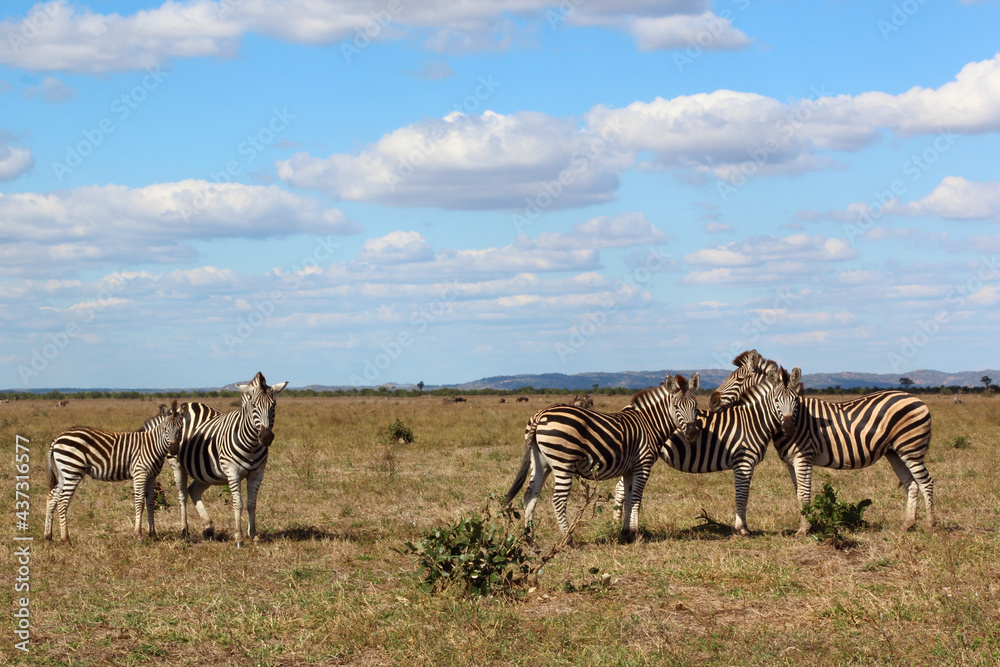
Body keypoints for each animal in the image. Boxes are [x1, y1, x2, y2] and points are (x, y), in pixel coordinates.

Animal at [44, 400, 183, 544]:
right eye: (165, 429)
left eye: (180, 429)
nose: (173, 450)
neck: (152, 445)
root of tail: (57, 438)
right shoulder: (140, 473)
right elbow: (139, 502)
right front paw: (138, 534)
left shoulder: (152, 477)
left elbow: (150, 502)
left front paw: (153, 534)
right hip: (72, 470)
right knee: (62, 501)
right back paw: (65, 539)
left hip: (63, 473)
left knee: (51, 498)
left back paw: (48, 536)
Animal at [168, 372, 288, 548]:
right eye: (253, 406)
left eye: (274, 405)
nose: (266, 437)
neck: (252, 445)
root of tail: (189, 404)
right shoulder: (233, 472)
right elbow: (238, 504)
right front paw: (239, 538)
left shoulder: (257, 473)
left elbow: (252, 504)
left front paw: (253, 535)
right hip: (177, 465)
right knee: (182, 495)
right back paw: (184, 531)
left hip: (205, 471)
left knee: (193, 490)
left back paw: (208, 528)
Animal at [504, 374, 701, 542]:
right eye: (676, 407)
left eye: (696, 407)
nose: (692, 433)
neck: (649, 424)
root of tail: (540, 414)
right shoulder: (643, 465)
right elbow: (636, 499)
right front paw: (636, 534)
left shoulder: (629, 469)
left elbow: (628, 498)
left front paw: (626, 533)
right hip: (563, 462)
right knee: (558, 499)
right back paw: (568, 539)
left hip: (540, 462)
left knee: (530, 495)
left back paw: (530, 538)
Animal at [614, 364, 802, 536]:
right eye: (777, 400)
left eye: (796, 400)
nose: (789, 427)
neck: (753, 420)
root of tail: (627, 408)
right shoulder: (743, 461)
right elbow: (742, 495)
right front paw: (742, 529)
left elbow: (744, 494)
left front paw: (742, 527)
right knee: (621, 488)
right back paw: (618, 525)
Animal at [712, 351, 935, 535]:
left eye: (738, 378)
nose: (712, 401)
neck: (797, 417)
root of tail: (915, 398)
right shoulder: (791, 461)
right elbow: (799, 493)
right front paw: (808, 524)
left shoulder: (804, 457)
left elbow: (805, 492)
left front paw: (804, 529)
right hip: (895, 452)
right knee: (911, 484)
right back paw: (908, 524)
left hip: (911, 448)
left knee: (926, 482)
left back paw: (930, 525)